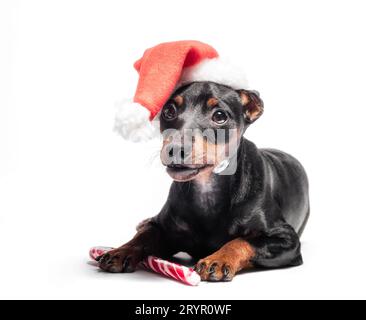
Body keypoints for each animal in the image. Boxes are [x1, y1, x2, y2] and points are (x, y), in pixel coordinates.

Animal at [98, 81, 310, 282]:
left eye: (219, 116)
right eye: (169, 111)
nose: (175, 149)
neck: (206, 189)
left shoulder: (286, 239)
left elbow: (242, 241)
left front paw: (219, 259)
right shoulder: (160, 227)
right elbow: (143, 236)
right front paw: (120, 251)